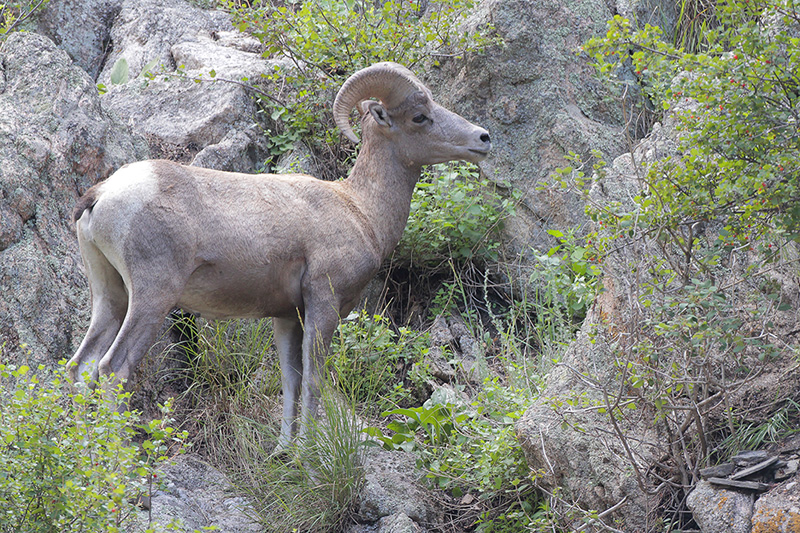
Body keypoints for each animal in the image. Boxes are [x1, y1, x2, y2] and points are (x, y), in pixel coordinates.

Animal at [69, 60, 490, 446]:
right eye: (420, 116)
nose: (483, 138)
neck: (361, 210)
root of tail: (103, 194)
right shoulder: (323, 304)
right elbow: (313, 381)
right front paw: (306, 453)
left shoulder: (287, 317)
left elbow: (291, 381)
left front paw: (285, 451)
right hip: (153, 297)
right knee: (113, 369)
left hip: (111, 296)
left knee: (81, 367)